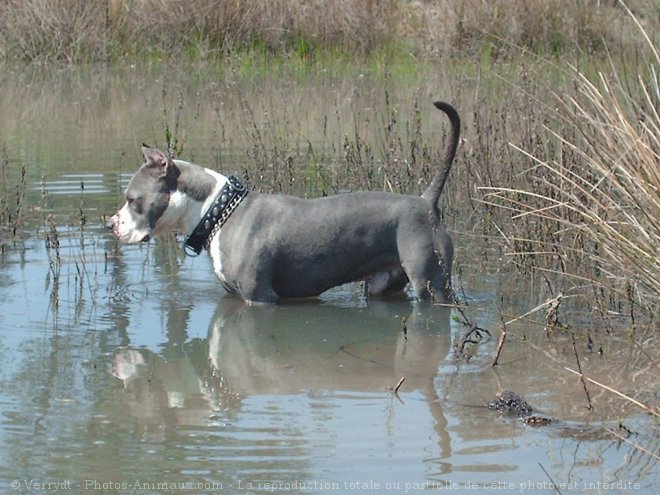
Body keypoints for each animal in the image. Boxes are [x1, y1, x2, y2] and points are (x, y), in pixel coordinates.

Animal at [107, 100, 458, 302]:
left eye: (132, 199)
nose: (110, 224)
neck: (218, 212)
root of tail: (425, 203)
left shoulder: (260, 298)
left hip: (432, 285)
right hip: (384, 285)